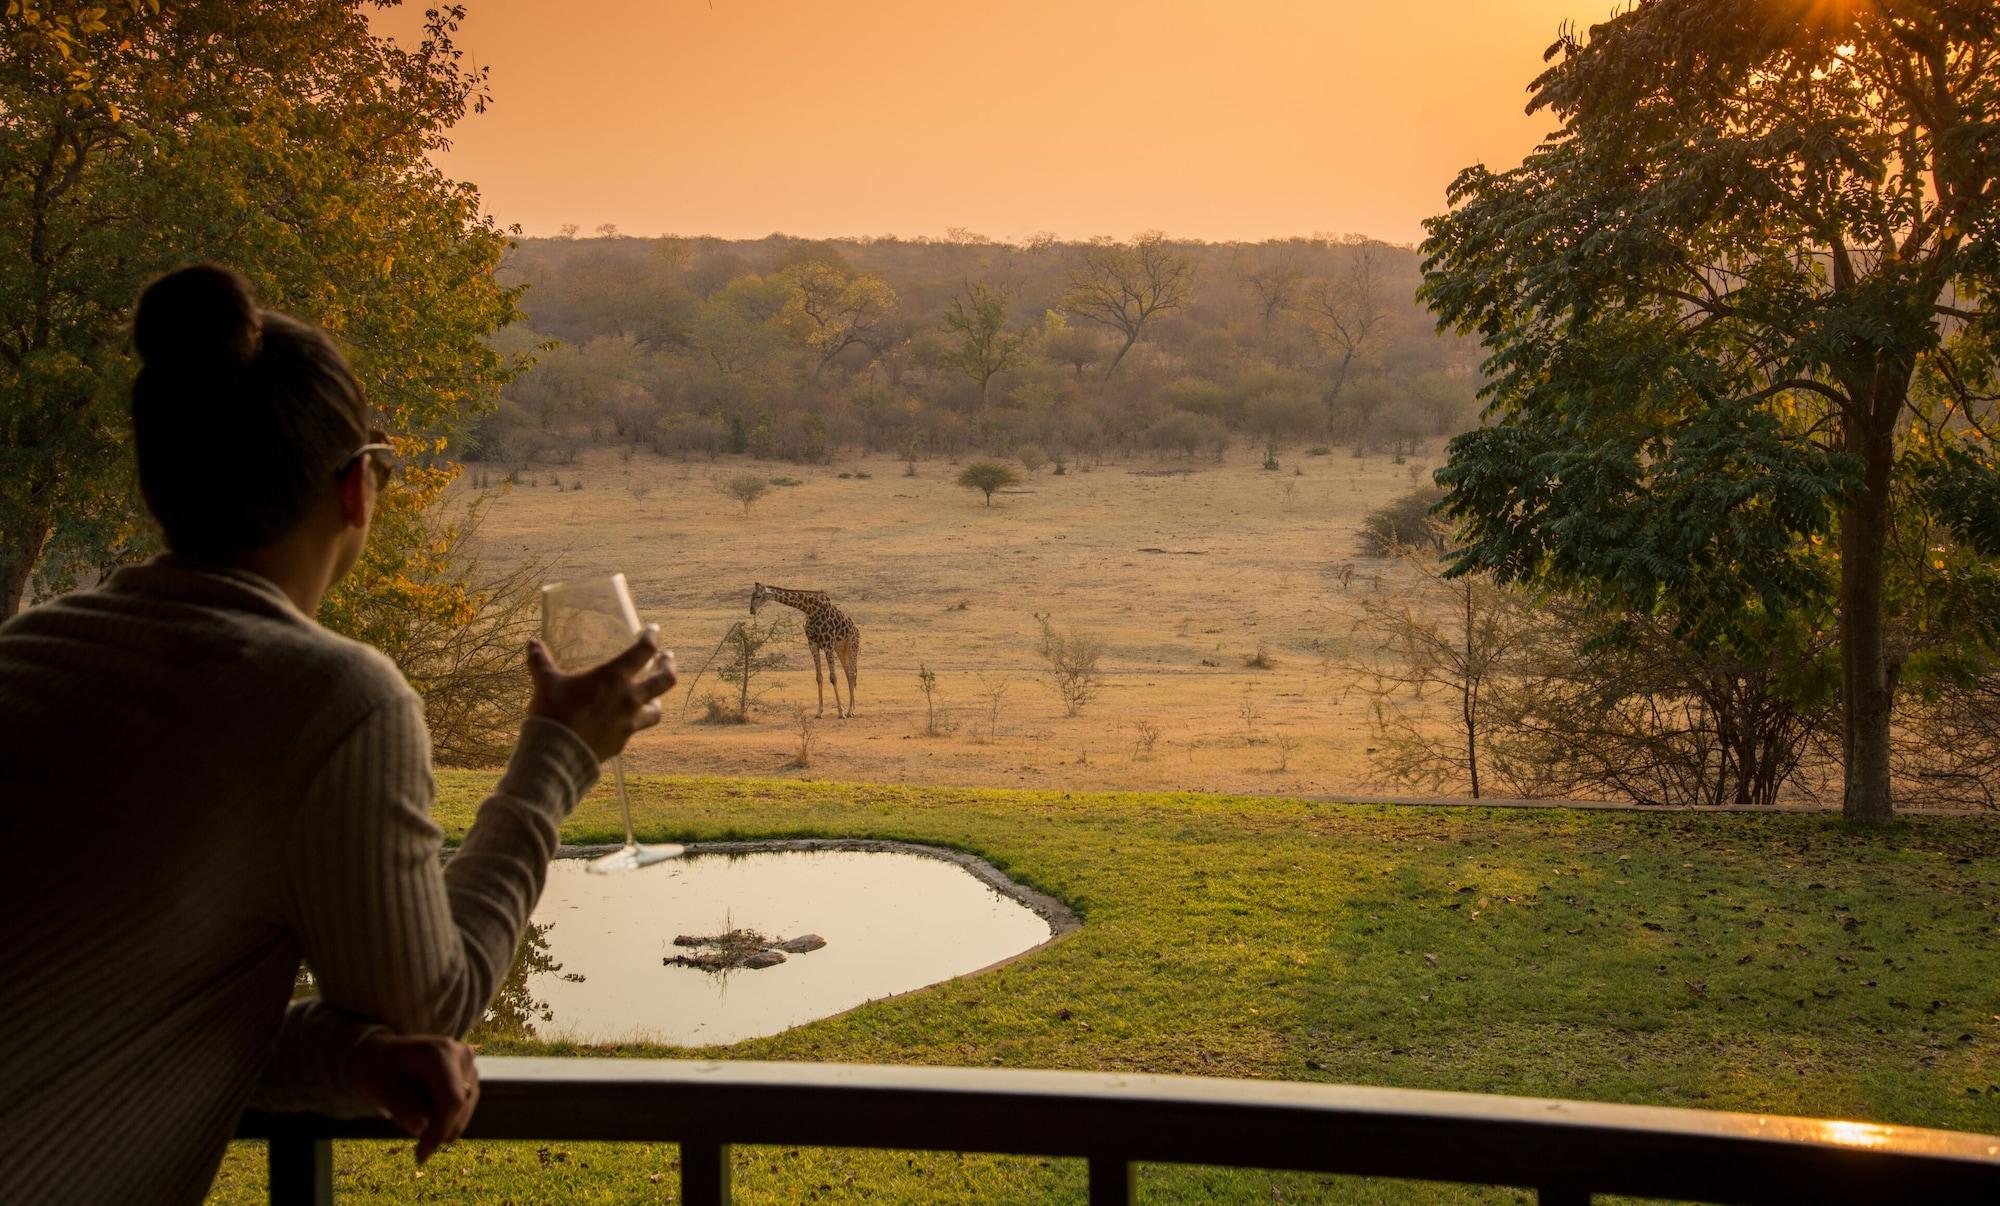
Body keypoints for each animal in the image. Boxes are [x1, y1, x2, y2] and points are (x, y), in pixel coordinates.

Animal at [752, 584, 860, 716]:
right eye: (751, 595)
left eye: (758, 596)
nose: (751, 610)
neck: (810, 609)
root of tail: (857, 630)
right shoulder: (812, 644)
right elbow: (819, 677)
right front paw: (819, 712)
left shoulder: (828, 643)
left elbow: (833, 678)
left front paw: (841, 712)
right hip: (840, 649)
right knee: (849, 673)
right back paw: (851, 709)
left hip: (852, 646)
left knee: (853, 673)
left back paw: (850, 711)